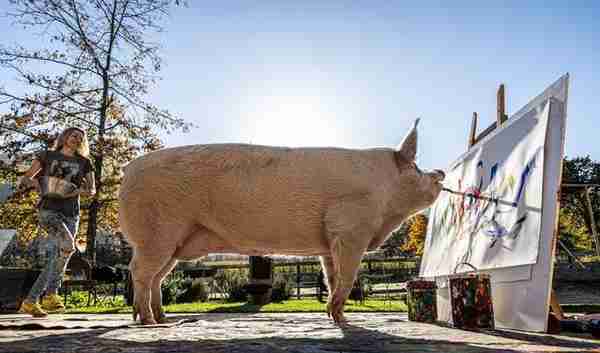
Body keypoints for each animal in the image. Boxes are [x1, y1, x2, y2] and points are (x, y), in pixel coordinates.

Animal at [118, 119, 446, 324]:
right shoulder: (351, 230)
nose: (440, 172)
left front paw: (337, 318)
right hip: (155, 234)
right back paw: (148, 321)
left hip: (173, 244)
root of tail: (128, 169)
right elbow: (348, 276)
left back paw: (162, 318)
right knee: (140, 272)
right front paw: (339, 315)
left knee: (157, 277)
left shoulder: (329, 241)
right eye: (417, 168)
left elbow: (331, 277)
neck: (386, 199)